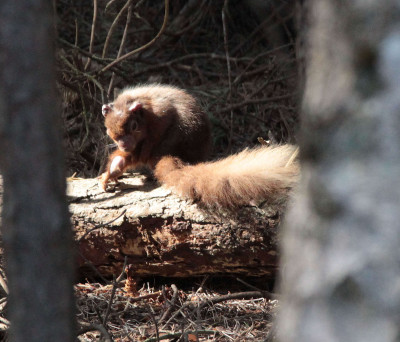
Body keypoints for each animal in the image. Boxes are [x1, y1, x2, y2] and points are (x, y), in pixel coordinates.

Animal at [101, 84, 298, 207]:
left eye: (134, 126)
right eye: (109, 130)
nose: (124, 144)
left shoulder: (160, 113)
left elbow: (161, 127)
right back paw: (115, 168)